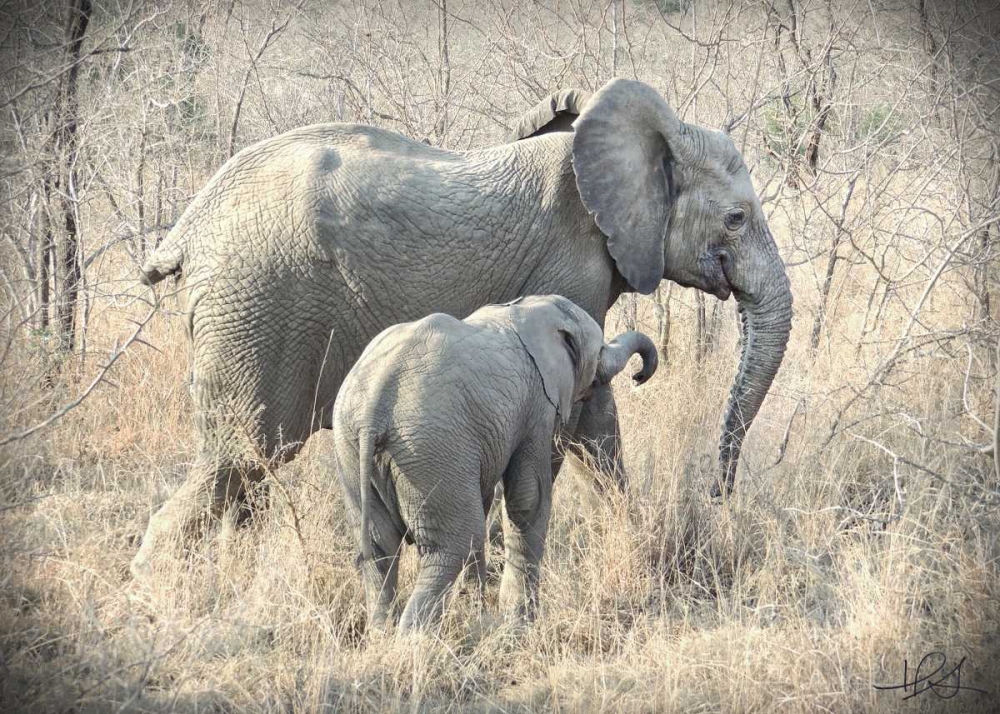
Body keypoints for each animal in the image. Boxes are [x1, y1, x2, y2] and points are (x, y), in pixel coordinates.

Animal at [131, 77, 793, 582]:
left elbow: (589, 425)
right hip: (258, 303)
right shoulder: (570, 264)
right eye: (736, 219)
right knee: (241, 456)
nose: (718, 496)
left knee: (243, 477)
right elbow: (581, 417)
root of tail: (190, 226)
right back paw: (155, 590)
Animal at [333, 295, 658, 631]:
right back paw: (415, 638)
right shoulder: (538, 407)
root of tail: (374, 406)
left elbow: (488, 497)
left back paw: (381, 634)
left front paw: (478, 608)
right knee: (452, 546)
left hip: (353, 450)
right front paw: (520, 622)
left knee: (379, 548)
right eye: (599, 353)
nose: (638, 377)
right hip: (428, 448)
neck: (527, 308)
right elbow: (529, 498)